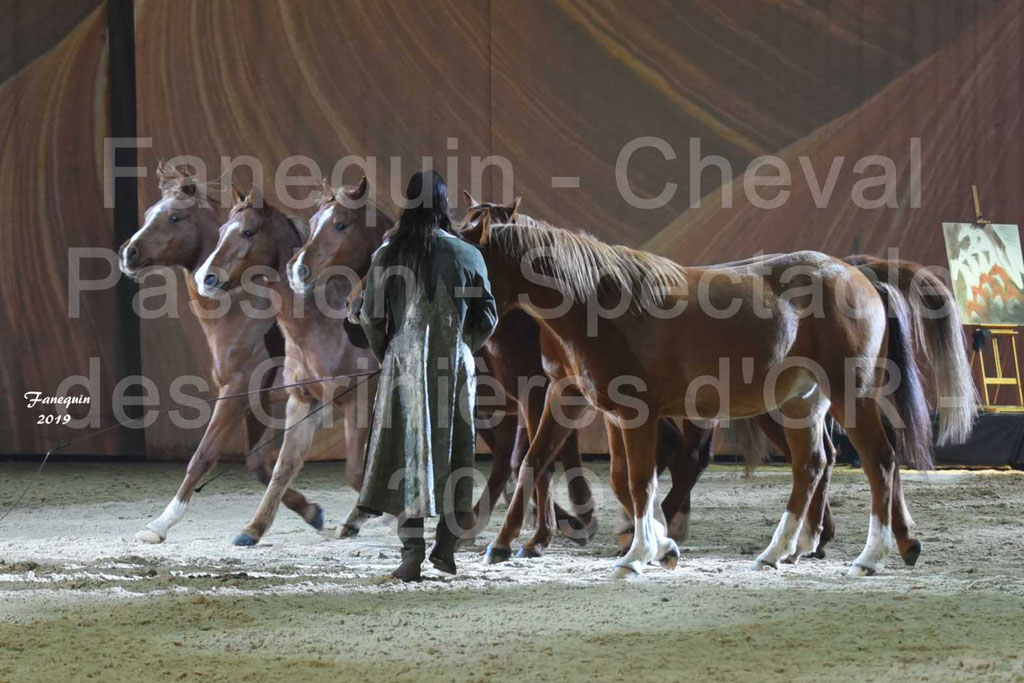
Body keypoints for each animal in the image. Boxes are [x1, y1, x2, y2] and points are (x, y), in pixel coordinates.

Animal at [118, 162, 323, 540]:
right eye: (149, 213)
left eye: (174, 217)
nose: (128, 253)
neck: (244, 312)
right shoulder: (256, 402)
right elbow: (259, 464)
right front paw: (310, 511)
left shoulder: (235, 392)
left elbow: (203, 455)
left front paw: (160, 524)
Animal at [194, 180, 385, 544]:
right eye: (222, 231)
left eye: (249, 231)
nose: (206, 278)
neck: (322, 325)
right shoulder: (303, 401)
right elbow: (282, 467)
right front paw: (254, 528)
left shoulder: (357, 401)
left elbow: (358, 472)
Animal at [460, 204, 970, 577]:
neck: (599, 302)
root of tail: (857, 273)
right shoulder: (583, 401)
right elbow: (585, 470)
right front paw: (660, 546)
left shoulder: (634, 412)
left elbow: (638, 480)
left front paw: (637, 555)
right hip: (804, 402)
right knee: (812, 465)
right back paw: (780, 551)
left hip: (850, 395)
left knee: (878, 460)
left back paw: (868, 557)